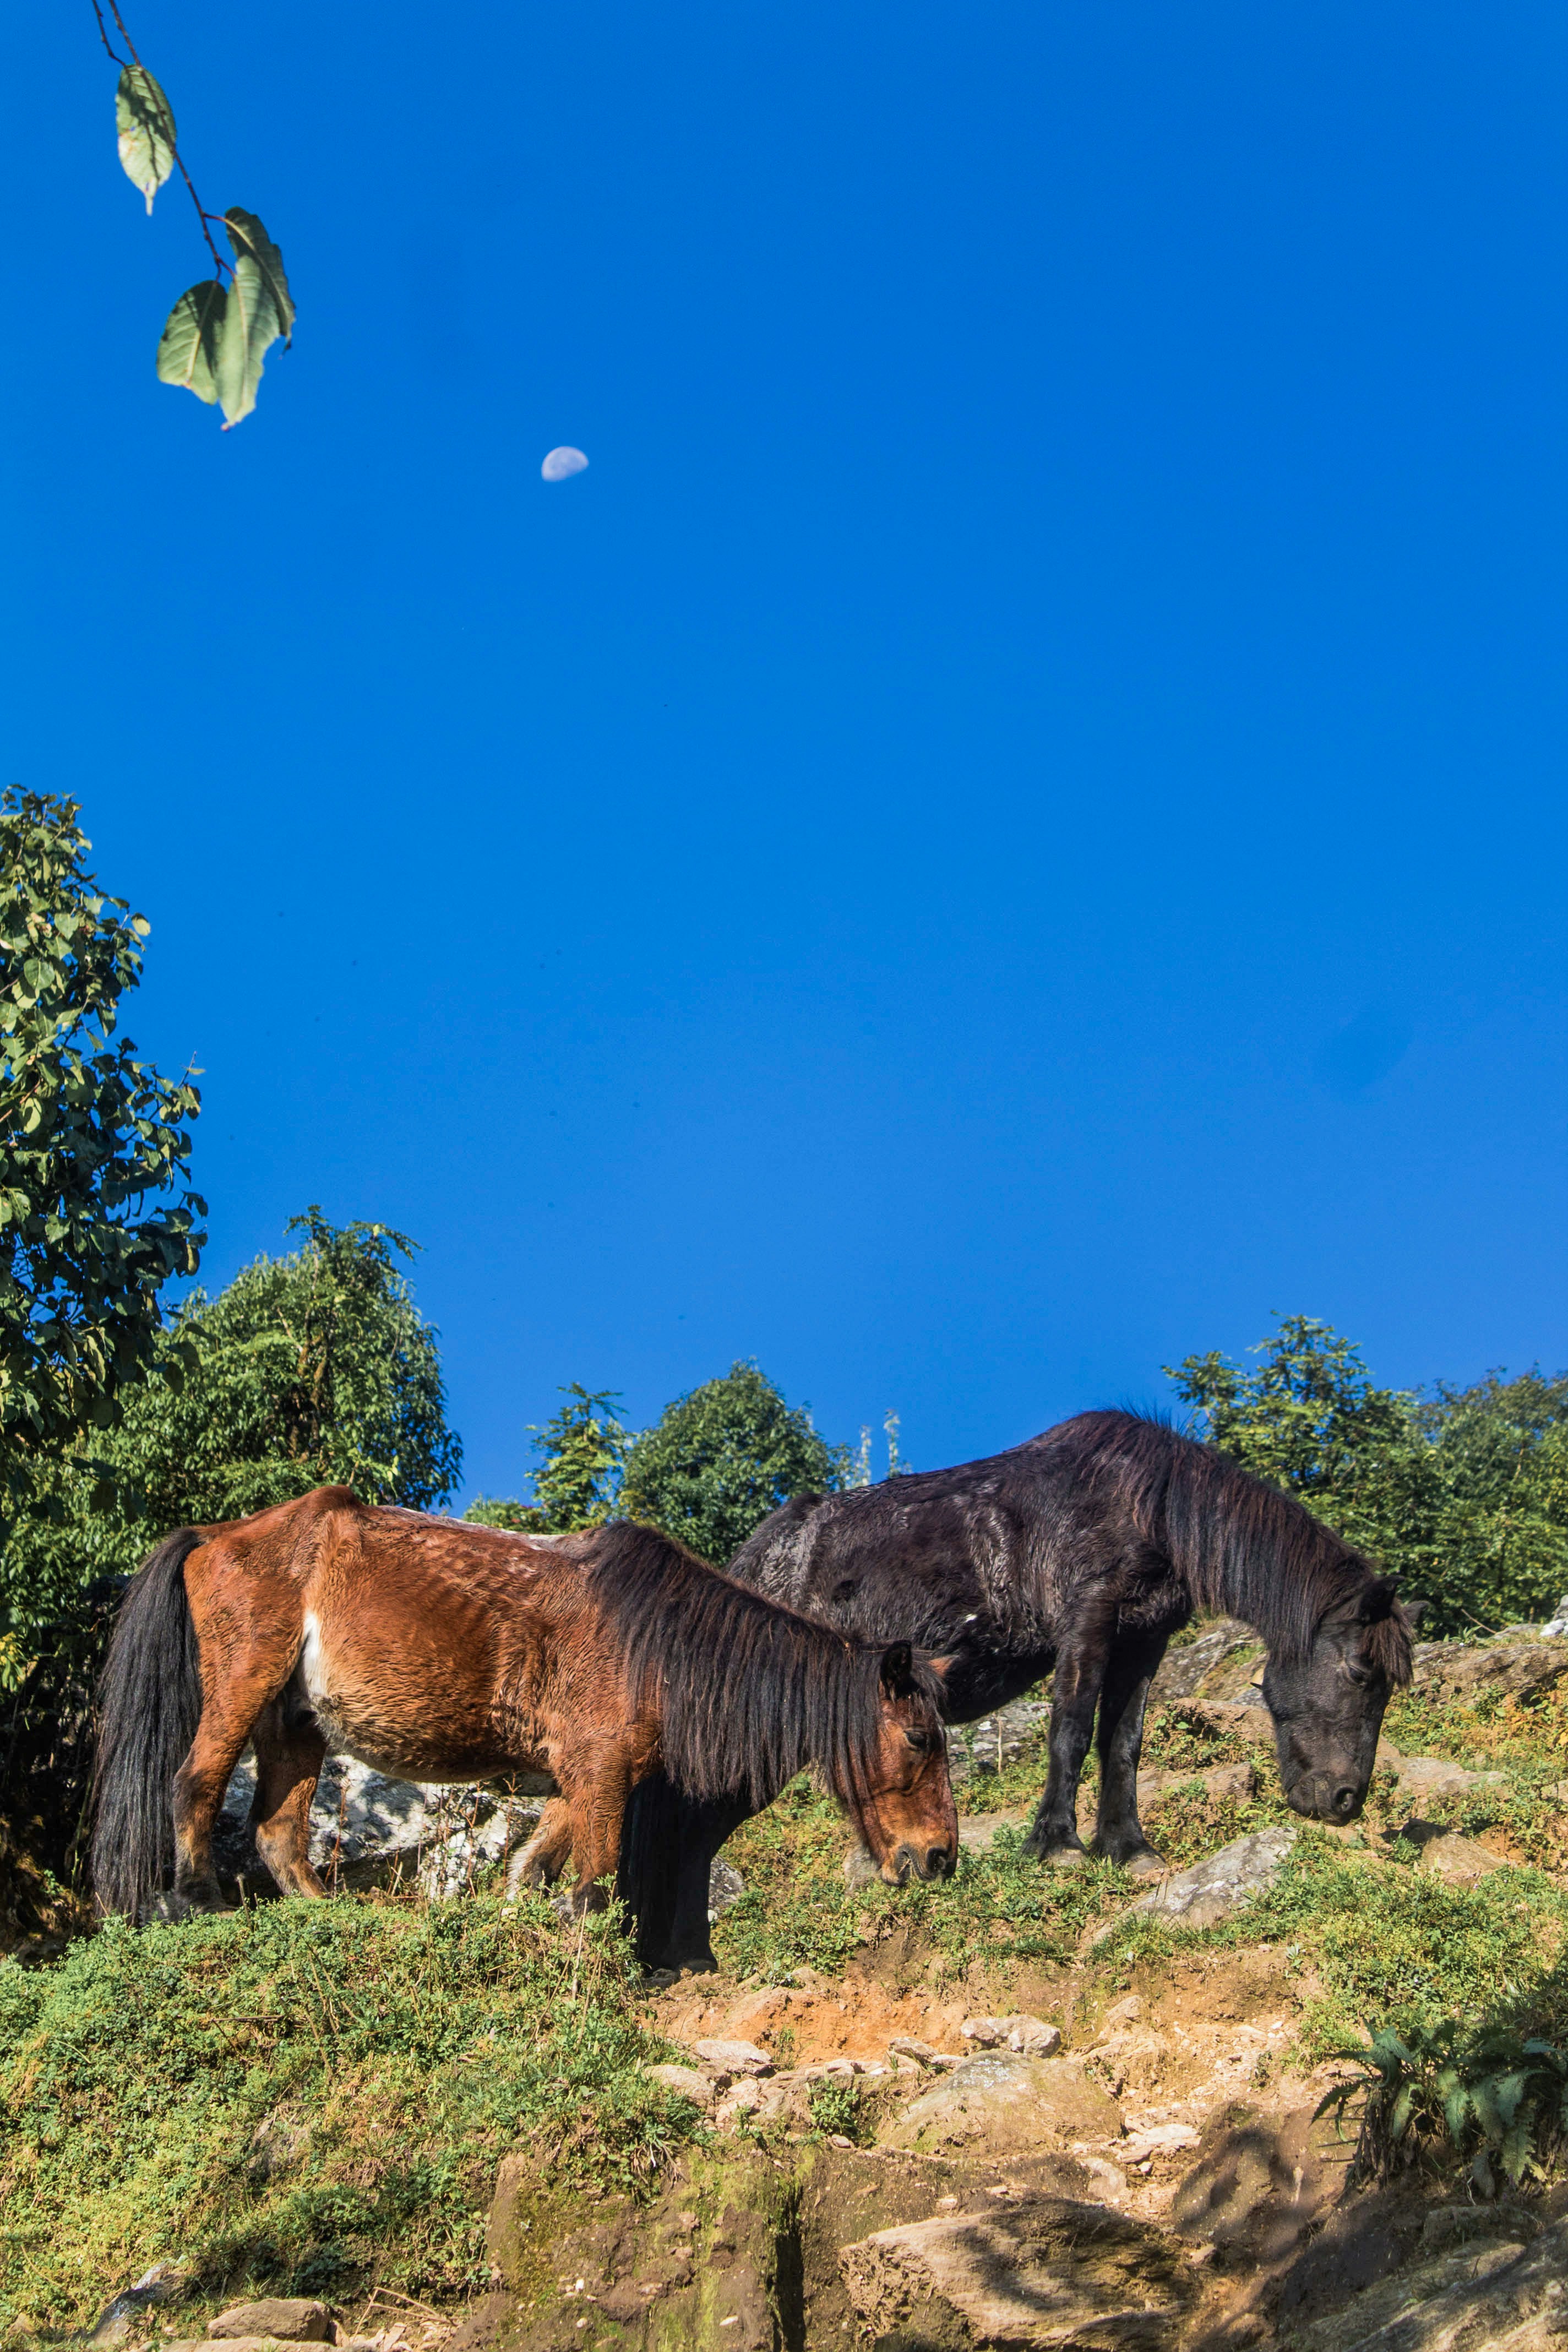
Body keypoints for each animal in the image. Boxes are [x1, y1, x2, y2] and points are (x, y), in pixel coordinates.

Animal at [89, 1485, 959, 1931]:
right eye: (920, 1739)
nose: (941, 1859)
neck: (657, 1636)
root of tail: (214, 1535)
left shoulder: (580, 1779)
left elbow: (534, 1866)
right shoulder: (601, 1775)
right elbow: (595, 1889)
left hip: (297, 1724)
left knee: (277, 1835)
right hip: (243, 1687)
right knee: (194, 1785)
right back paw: (194, 1901)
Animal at [623, 1409, 1419, 1971]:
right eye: (1361, 1674)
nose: (1344, 1802)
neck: (1148, 1505)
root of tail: (751, 1559)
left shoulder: (1143, 1643)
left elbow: (1122, 1744)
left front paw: (1128, 1848)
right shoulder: (1086, 1623)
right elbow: (1070, 1730)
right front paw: (1058, 1844)